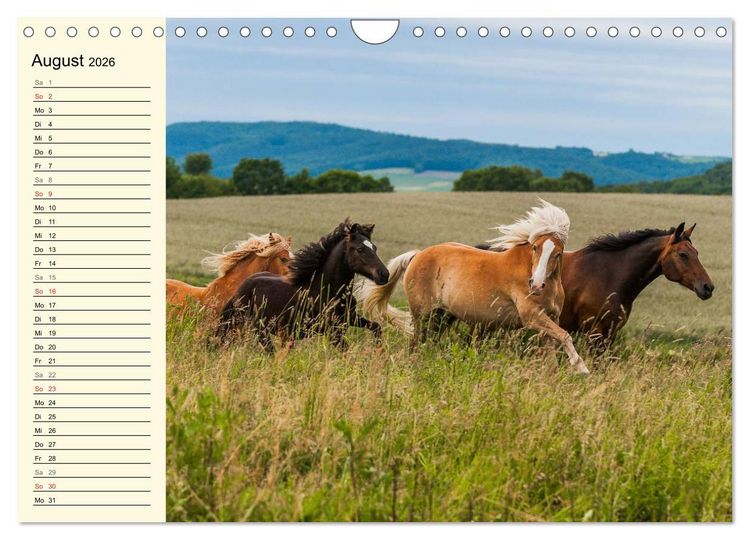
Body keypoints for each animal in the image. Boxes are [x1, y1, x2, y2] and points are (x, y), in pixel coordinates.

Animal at [217, 219, 389, 352]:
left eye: (374, 248)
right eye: (360, 249)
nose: (384, 274)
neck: (329, 290)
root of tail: (240, 290)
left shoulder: (350, 319)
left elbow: (376, 327)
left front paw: (378, 351)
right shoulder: (332, 331)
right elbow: (347, 351)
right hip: (259, 329)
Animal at [359, 201, 591, 374]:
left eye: (558, 253)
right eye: (535, 248)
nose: (536, 284)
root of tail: (417, 255)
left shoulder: (551, 319)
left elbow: (554, 349)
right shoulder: (532, 317)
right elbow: (565, 336)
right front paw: (581, 368)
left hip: (442, 316)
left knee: (428, 342)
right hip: (422, 315)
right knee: (416, 343)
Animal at [478, 222, 714, 348]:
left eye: (696, 252)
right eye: (683, 255)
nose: (707, 287)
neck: (610, 275)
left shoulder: (610, 333)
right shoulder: (595, 333)